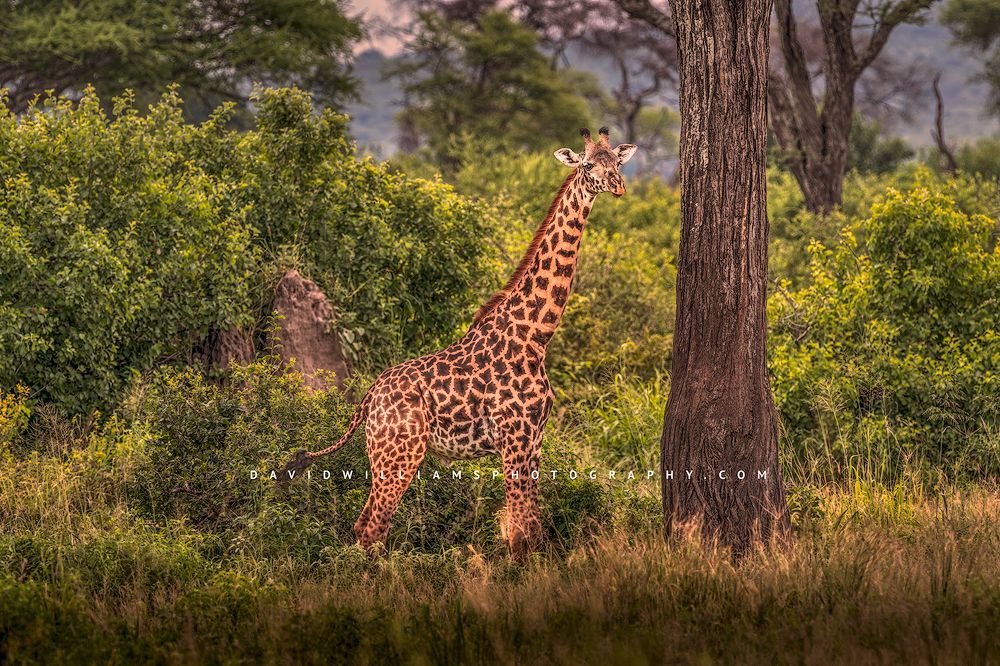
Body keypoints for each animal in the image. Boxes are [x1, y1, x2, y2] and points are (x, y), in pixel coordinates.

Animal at [281, 127, 638, 558]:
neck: (535, 336)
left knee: (363, 523)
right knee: (372, 527)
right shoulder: (514, 439)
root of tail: (368, 400)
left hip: (388, 455)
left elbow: (531, 528)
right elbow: (520, 532)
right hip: (399, 453)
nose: (617, 186)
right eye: (587, 165)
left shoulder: (534, 441)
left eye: (616, 162)